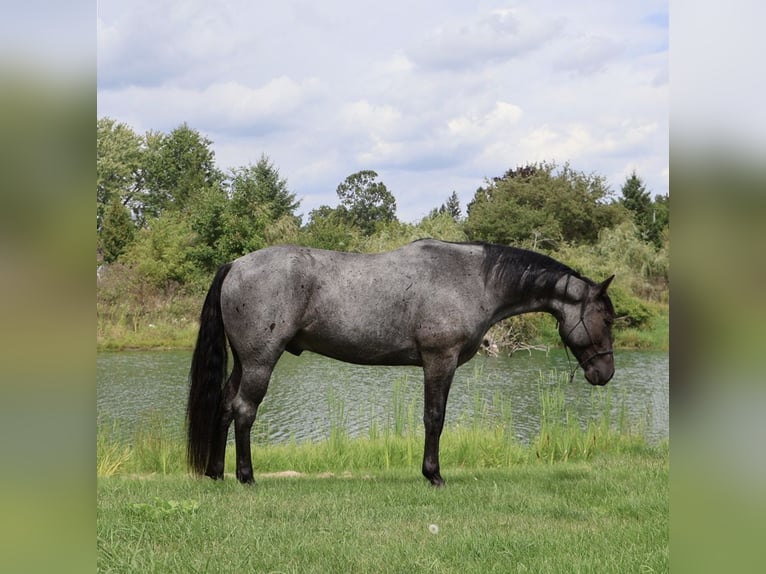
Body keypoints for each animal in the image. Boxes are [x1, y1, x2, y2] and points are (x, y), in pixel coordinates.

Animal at [186, 239, 615, 486]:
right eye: (608, 319)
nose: (605, 373)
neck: (473, 278)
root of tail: (236, 265)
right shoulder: (440, 360)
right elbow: (434, 418)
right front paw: (434, 475)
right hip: (260, 361)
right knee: (244, 410)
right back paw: (245, 477)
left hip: (243, 362)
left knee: (225, 406)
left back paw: (216, 473)